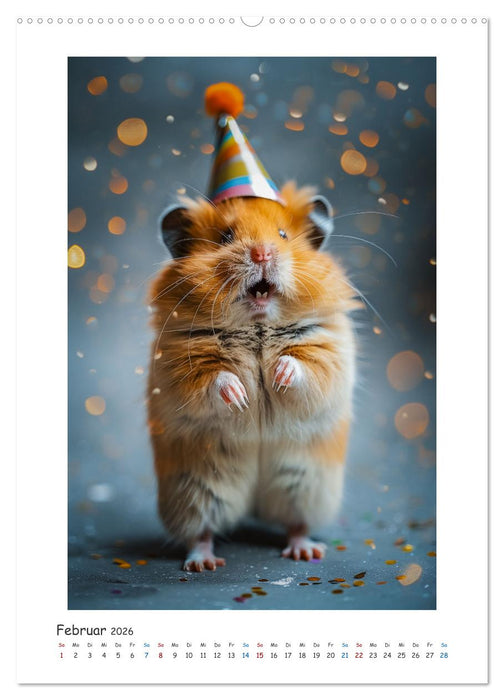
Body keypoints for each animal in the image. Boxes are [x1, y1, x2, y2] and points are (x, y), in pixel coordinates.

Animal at [147, 182, 357, 571]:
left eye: (283, 235)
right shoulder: (180, 363)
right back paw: (203, 563)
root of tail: (253, 505)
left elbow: (304, 367)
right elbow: (214, 379)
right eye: (225, 237)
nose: (262, 254)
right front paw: (242, 396)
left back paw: (305, 551)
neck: (257, 325)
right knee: (200, 532)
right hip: (194, 489)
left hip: (308, 485)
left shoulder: (328, 351)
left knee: (296, 523)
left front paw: (278, 375)